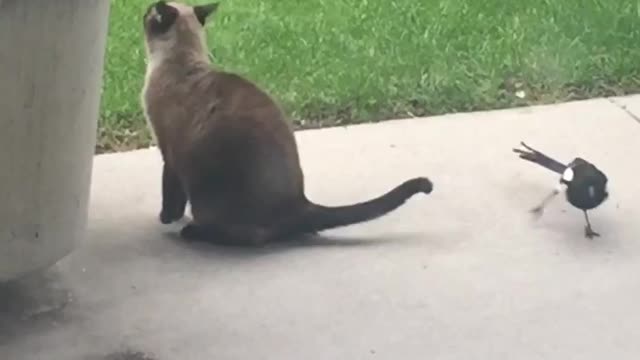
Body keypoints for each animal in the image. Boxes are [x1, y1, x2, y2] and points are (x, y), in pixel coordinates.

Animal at [139, 1, 436, 245]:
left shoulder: (169, 153)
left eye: (150, 11)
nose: (145, 8)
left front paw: (166, 219)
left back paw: (193, 232)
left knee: (250, 238)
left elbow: (170, 193)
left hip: (209, 193)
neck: (181, 59)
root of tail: (299, 203)